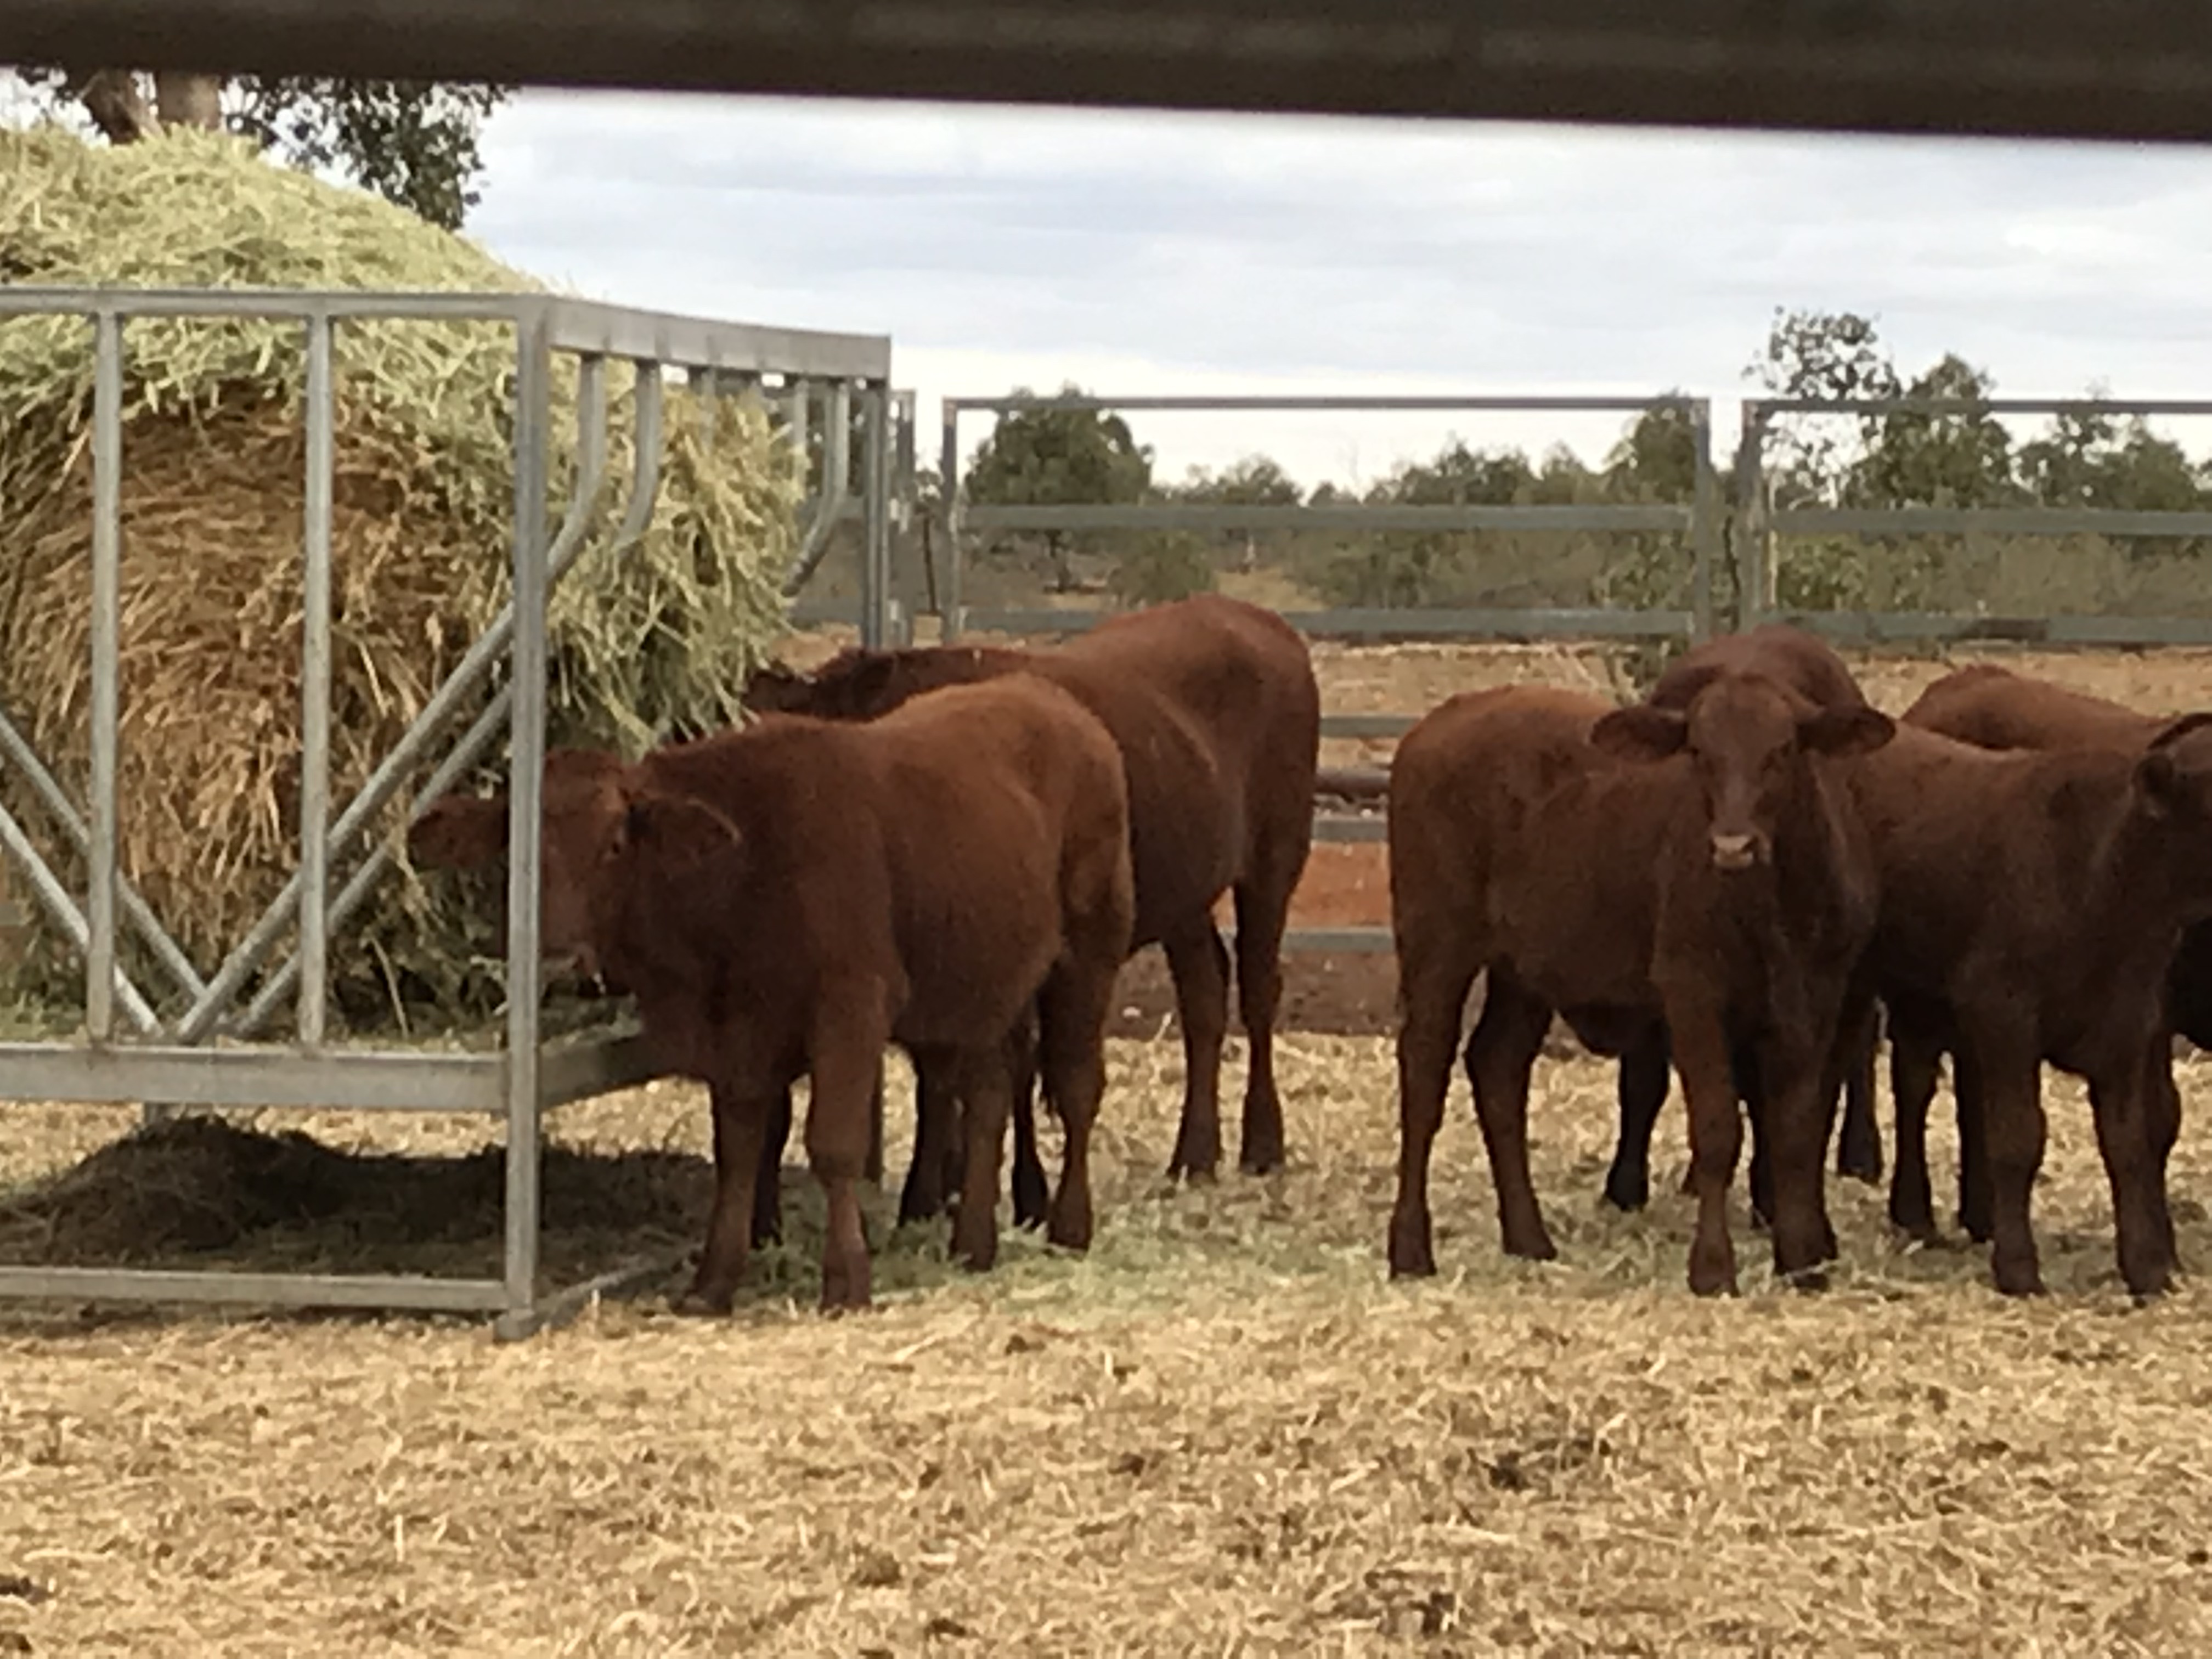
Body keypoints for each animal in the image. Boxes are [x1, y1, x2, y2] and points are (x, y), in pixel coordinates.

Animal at [411, 672, 1141, 1309]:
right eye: (516, 849)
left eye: (617, 842)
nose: (561, 960)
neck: (743, 870)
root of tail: (1051, 698)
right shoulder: (739, 1034)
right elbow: (739, 1151)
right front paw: (713, 1281)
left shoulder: (850, 1005)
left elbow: (833, 1144)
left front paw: (846, 1280)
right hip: (986, 990)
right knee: (990, 1095)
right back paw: (974, 1243)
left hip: (1089, 953)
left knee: (1077, 1086)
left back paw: (1070, 1226)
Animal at [752, 597, 1318, 1212]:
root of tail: (1258, 619)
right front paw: (951, 1181)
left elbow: (1003, 1065)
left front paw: (1013, 1188)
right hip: (1186, 896)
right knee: (1205, 999)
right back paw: (1195, 1154)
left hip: (1275, 859)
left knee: (1259, 990)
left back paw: (1262, 1143)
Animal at [1389, 676, 1893, 1300]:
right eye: (1699, 752)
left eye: (1782, 751)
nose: (1733, 846)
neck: (1775, 911)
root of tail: (1440, 723)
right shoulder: (1693, 993)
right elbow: (1718, 1129)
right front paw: (1712, 1268)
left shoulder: (1817, 1000)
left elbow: (1799, 1128)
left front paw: (1801, 1263)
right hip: (1437, 943)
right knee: (1424, 1074)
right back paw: (1411, 1249)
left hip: (1524, 969)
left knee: (1498, 1068)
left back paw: (1529, 1238)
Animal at [1840, 721, 2212, 1309]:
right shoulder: (2003, 1013)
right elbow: (2017, 1138)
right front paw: (2018, 1269)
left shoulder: (2130, 1025)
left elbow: (2131, 1142)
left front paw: (2147, 1269)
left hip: (1920, 996)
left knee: (1914, 1082)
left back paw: (1920, 1215)